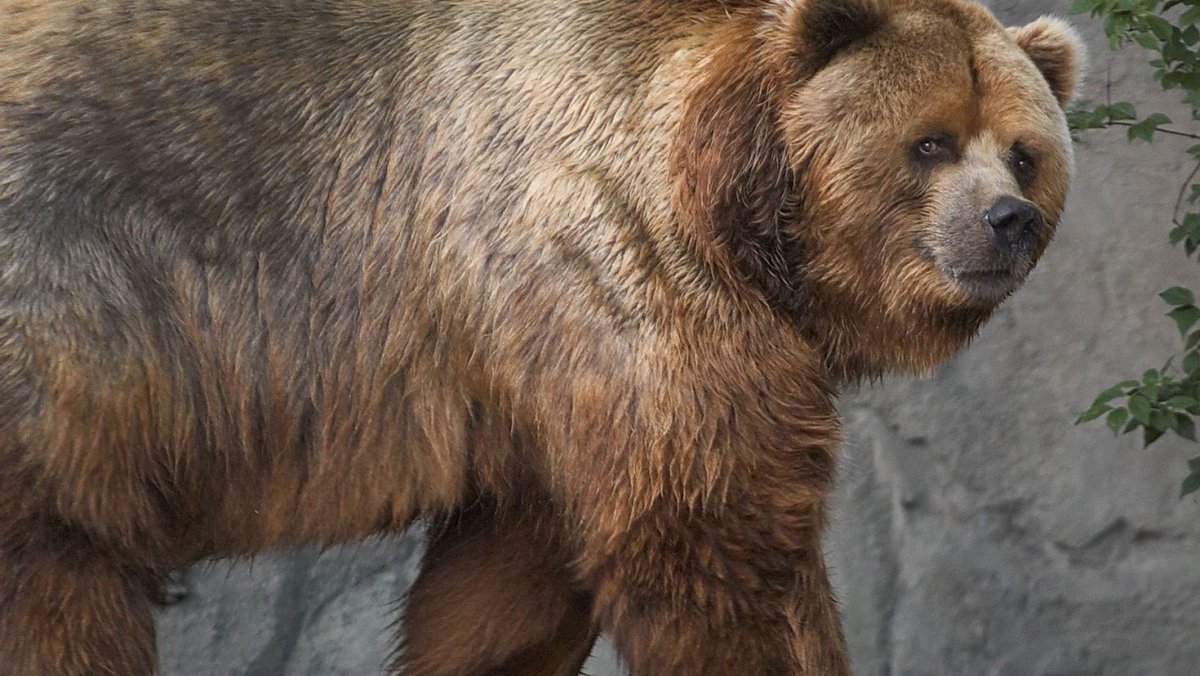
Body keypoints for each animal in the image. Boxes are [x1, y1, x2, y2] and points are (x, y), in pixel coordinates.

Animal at [0, 0, 1081, 674]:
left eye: (1025, 151)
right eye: (930, 141)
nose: (1007, 221)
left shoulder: (538, 369)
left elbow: (510, 584)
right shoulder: (603, 256)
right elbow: (715, 538)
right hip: (70, 306)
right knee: (59, 584)